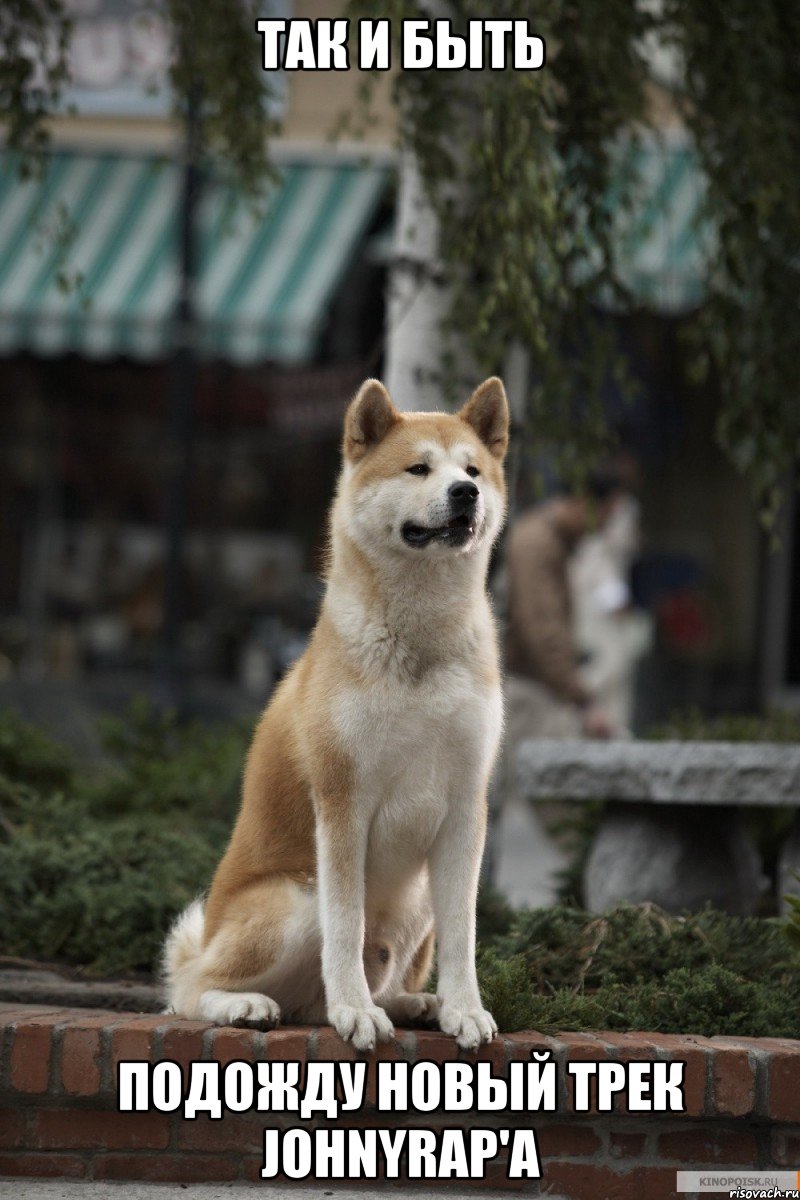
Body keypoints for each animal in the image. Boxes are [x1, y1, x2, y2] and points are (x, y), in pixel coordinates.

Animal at [164, 376, 506, 1051]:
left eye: (473, 469)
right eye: (419, 468)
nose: (466, 493)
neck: (420, 645)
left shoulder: (465, 806)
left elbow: (465, 934)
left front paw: (464, 1009)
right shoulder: (344, 801)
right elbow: (345, 928)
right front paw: (355, 1011)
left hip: (416, 900)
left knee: (360, 985)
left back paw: (412, 1003)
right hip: (296, 900)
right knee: (189, 990)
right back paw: (251, 1004)